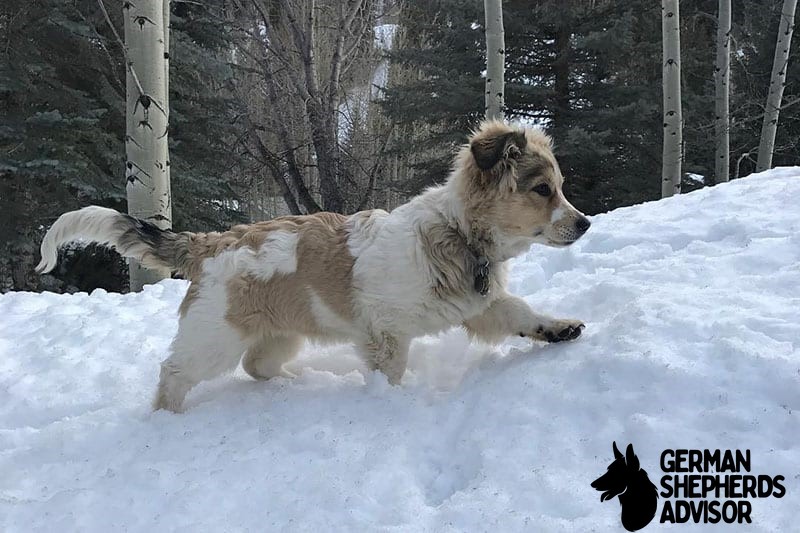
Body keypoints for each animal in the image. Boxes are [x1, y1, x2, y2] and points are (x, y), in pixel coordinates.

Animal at [37, 120, 588, 412]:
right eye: (543, 189)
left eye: (559, 186)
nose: (584, 224)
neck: (456, 235)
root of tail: (213, 241)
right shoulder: (386, 332)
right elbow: (391, 372)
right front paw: (392, 403)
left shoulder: (480, 304)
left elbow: (520, 313)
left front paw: (561, 328)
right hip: (213, 336)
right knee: (174, 371)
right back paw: (167, 417)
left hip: (279, 334)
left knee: (257, 366)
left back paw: (293, 383)